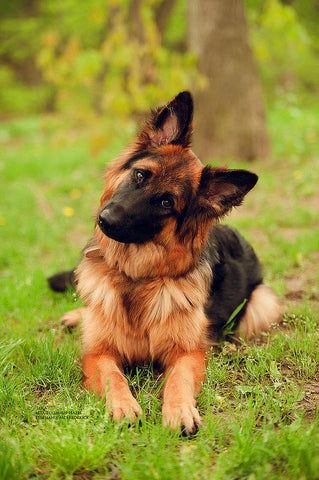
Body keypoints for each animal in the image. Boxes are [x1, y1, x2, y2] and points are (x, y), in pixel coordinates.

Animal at [48, 92, 282, 434]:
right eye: (140, 175)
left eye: (165, 202)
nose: (106, 220)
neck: (136, 276)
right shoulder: (97, 352)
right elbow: (112, 375)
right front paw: (122, 405)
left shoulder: (188, 352)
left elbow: (179, 378)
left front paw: (180, 409)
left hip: (262, 302)